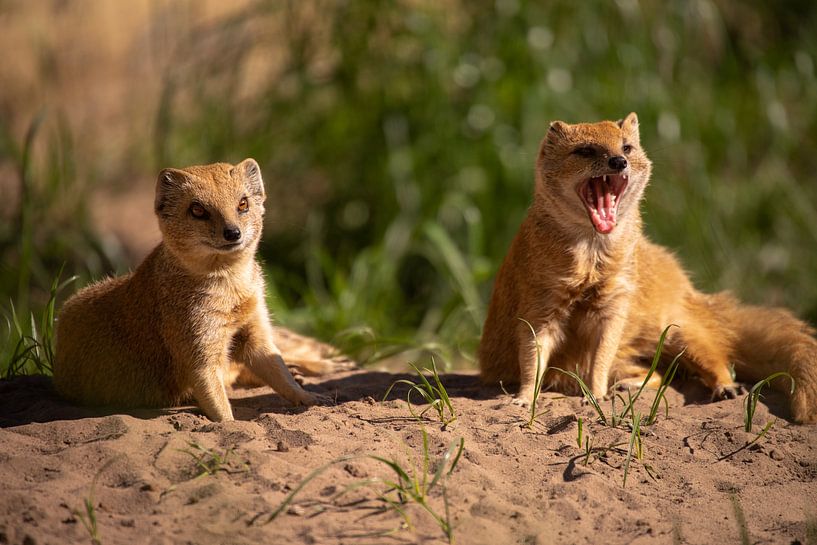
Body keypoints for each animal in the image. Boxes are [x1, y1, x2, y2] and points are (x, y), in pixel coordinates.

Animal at [54, 159, 349, 422]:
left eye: (243, 203)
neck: (232, 291)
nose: (232, 232)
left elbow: (273, 363)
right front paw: (229, 423)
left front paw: (309, 397)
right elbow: (212, 390)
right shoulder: (191, 332)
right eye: (197, 209)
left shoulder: (255, 320)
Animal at [479, 113, 817, 424]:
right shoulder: (539, 301)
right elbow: (533, 356)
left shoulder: (615, 306)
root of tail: (688, 286)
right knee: (657, 372)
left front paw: (596, 395)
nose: (618, 162)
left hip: (677, 329)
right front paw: (524, 398)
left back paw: (724, 387)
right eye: (585, 150)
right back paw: (626, 386)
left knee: (709, 359)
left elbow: (600, 359)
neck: (591, 263)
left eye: (627, 147)